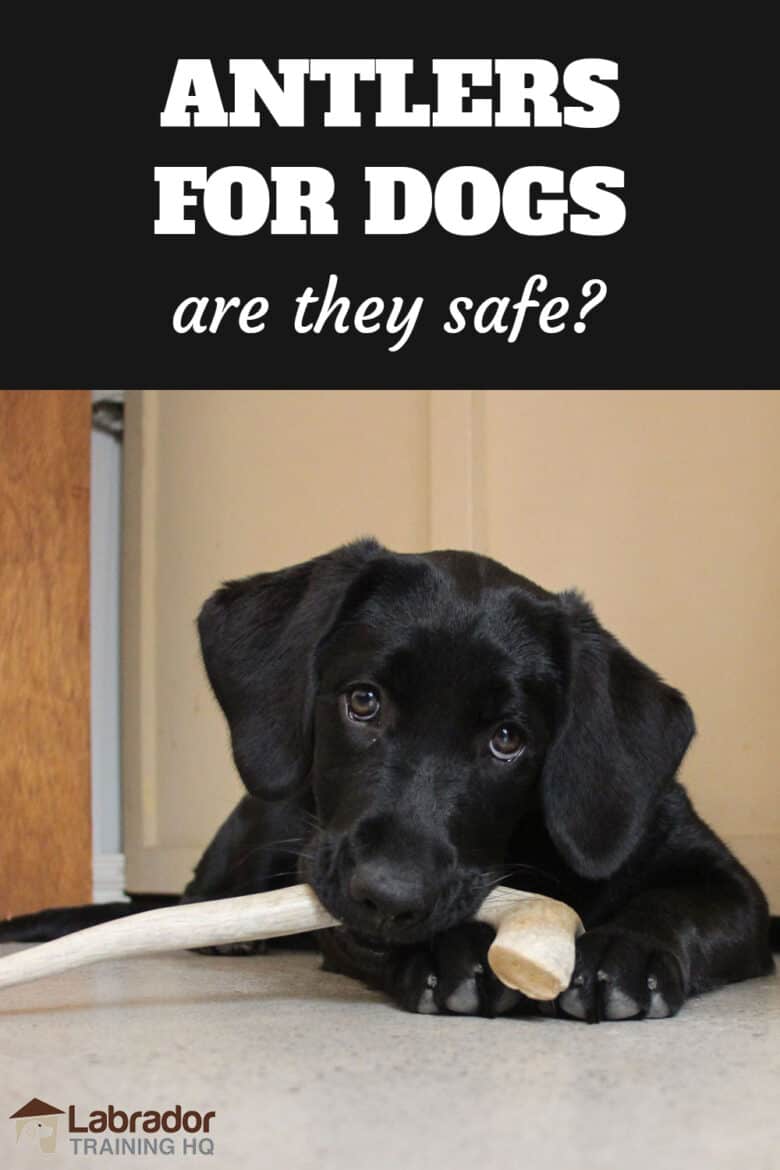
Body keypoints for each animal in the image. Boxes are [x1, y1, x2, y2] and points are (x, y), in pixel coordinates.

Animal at [1, 535, 776, 1020]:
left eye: (508, 740)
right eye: (364, 701)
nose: (389, 897)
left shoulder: (731, 886)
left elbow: (679, 904)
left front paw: (627, 953)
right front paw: (452, 953)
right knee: (198, 894)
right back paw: (232, 932)